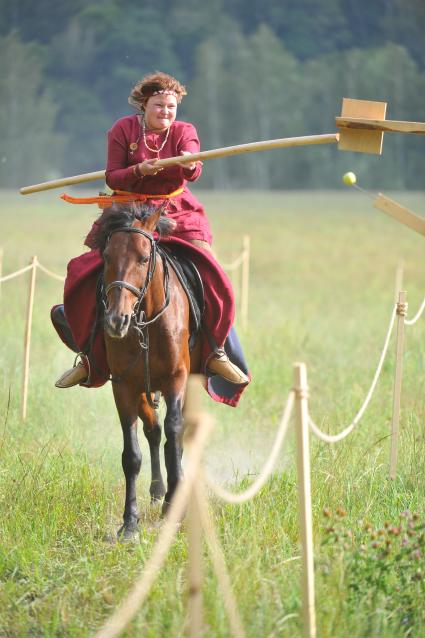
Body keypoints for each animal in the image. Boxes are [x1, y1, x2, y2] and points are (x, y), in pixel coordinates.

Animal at [92, 204, 200, 540]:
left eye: (143, 257)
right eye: (107, 256)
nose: (117, 320)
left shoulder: (177, 379)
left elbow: (174, 432)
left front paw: (174, 506)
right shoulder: (124, 386)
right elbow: (132, 455)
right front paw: (130, 522)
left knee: (173, 433)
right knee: (152, 430)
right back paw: (157, 490)